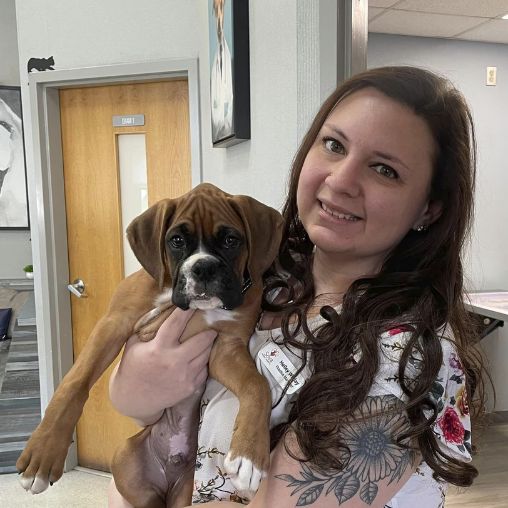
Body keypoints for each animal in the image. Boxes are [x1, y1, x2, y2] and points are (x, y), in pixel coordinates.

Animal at [15, 184, 284, 508]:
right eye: (177, 241)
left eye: (231, 240)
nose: (204, 268)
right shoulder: (114, 323)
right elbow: (74, 383)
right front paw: (44, 452)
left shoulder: (226, 347)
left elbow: (257, 385)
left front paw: (248, 456)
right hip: (126, 459)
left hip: (183, 491)